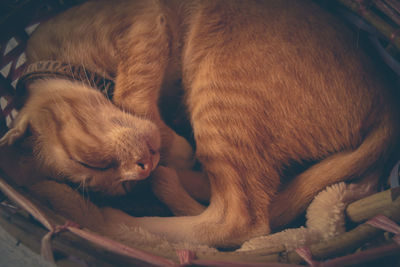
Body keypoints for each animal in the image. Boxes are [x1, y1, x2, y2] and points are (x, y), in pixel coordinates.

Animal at [0, 0, 400, 249]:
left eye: (89, 162)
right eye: (121, 185)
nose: (142, 169)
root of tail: (387, 97)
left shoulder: (142, 21)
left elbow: (132, 93)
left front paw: (170, 145)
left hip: (218, 92)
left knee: (242, 219)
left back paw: (114, 220)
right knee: (241, 198)